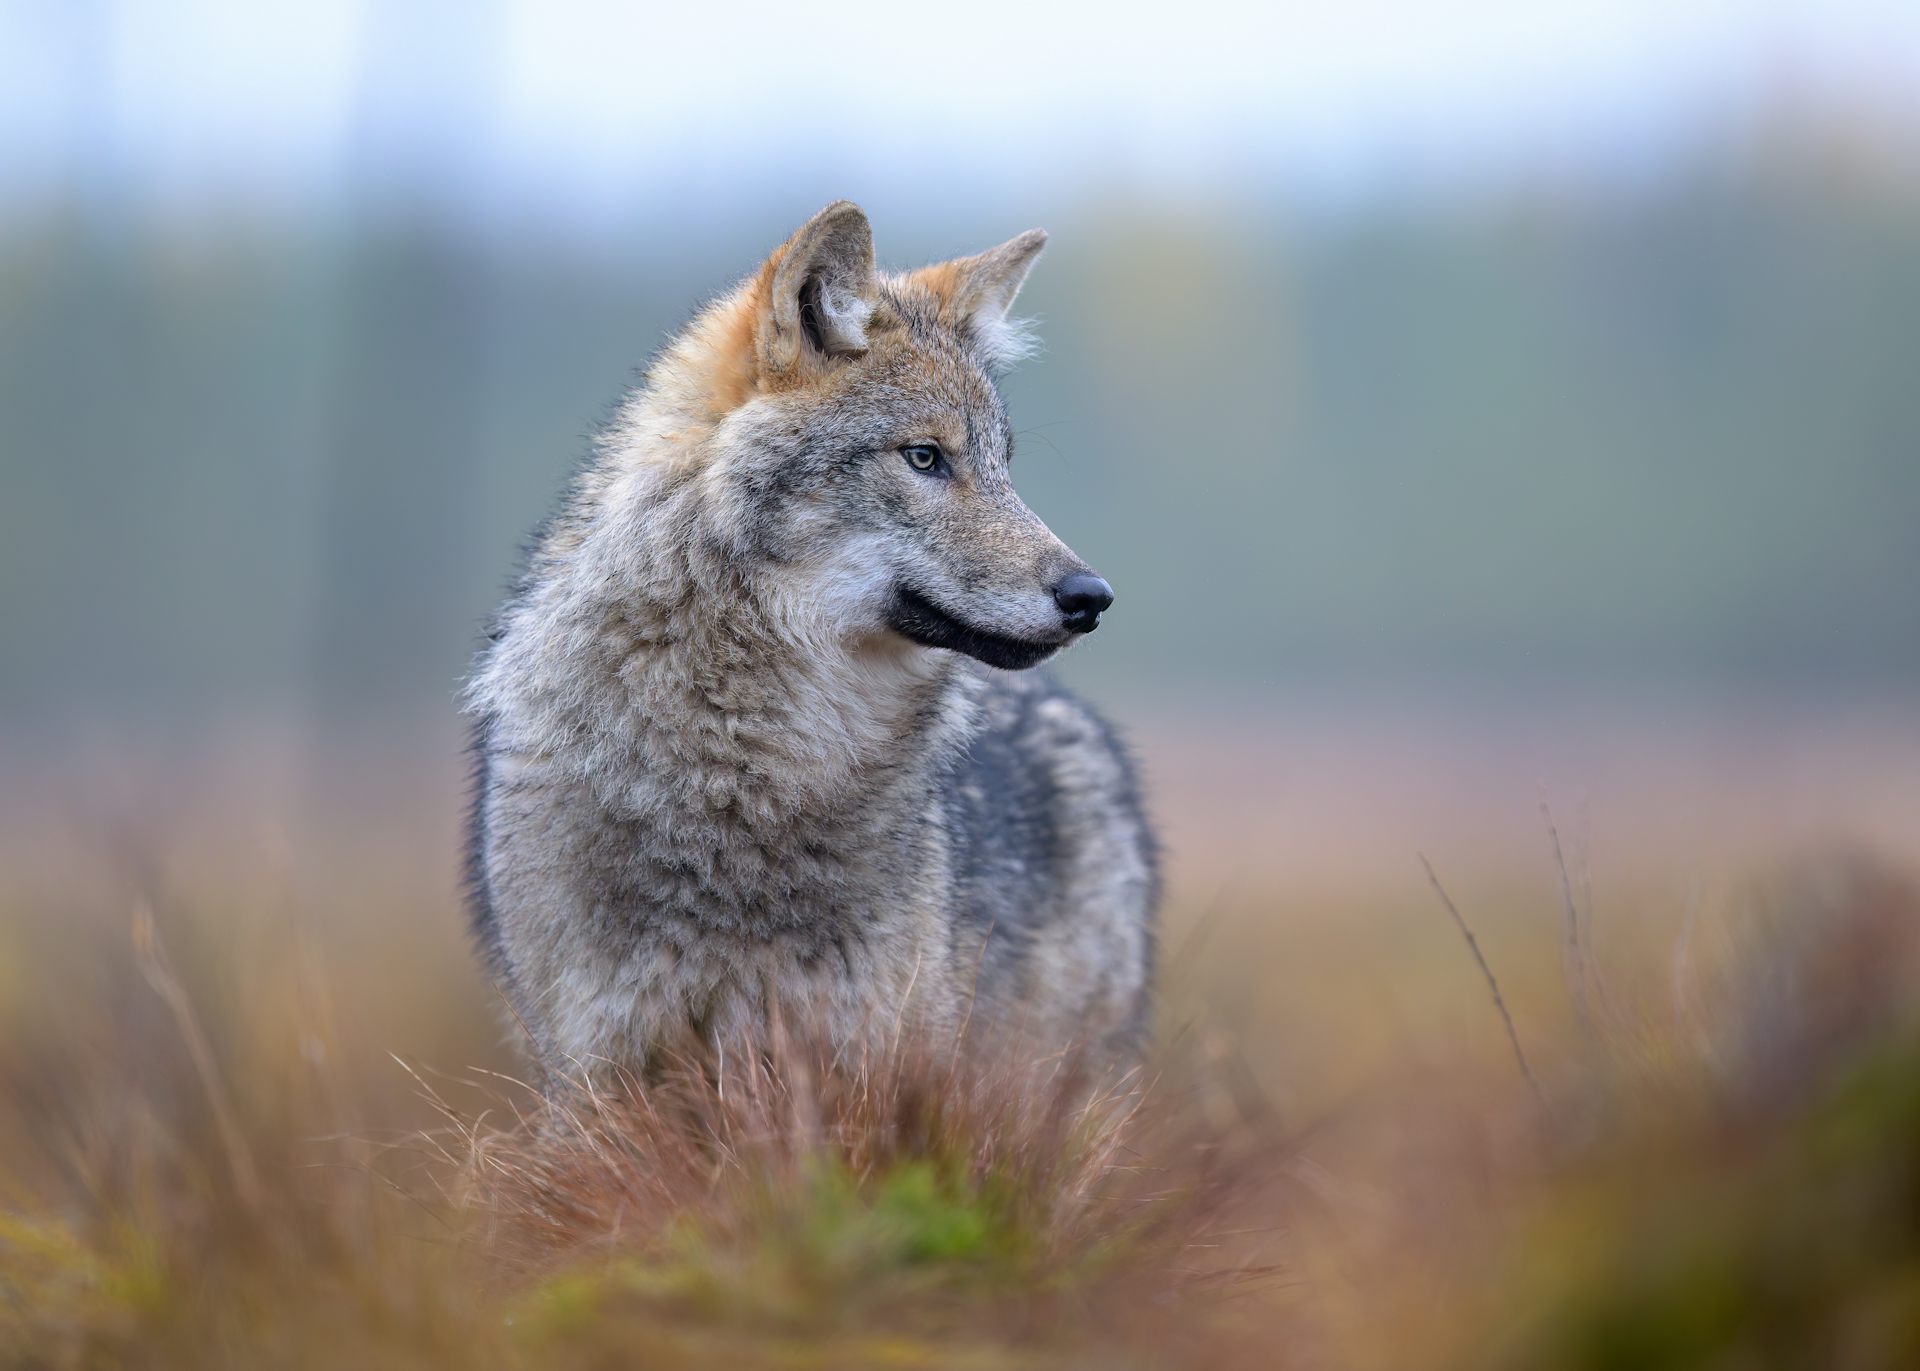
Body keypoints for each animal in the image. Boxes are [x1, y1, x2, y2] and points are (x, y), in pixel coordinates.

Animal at [464, 202, 1157, 1080]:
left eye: (1004, 466)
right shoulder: (596, 1065)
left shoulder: (869, 1053)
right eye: (925, 457)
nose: (1091, 597)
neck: (747, 773)